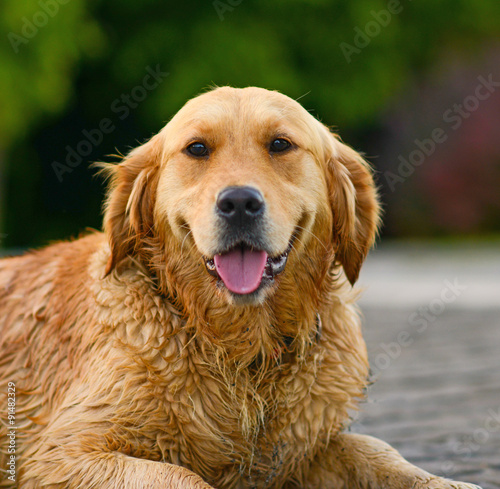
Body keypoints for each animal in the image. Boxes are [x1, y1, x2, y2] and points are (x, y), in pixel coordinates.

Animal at [0, 87, 478, 488]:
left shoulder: (303, 450)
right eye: (197, 148)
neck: (239, 352)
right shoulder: (63, 453)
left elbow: (376, 451)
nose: (240, 202)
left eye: (280, 144)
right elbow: (183, 476)